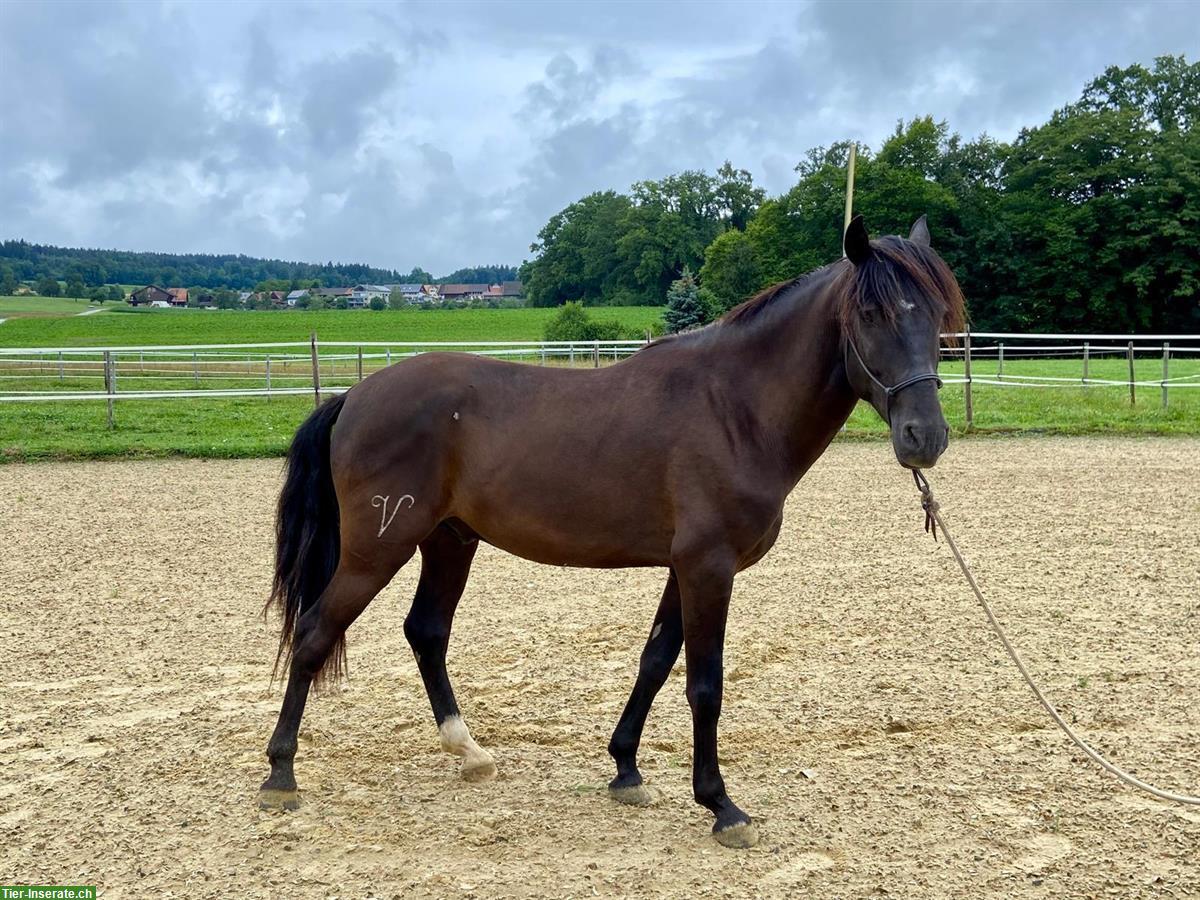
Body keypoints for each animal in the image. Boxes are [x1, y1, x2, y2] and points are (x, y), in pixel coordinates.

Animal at [255, 214, 964, 849]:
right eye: (870, 314)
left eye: (935, 314)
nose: (924, 437)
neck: (734, 408)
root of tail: (355, 396)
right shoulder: (709, 566)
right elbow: (704, 684)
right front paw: (721, 806)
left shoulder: (686, 568)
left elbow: (655, 661)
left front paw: (626, 768)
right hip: (378, 549)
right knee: (315, 633)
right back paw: (280, 774)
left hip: (450, 540)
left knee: (425, 632)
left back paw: (470, 753)